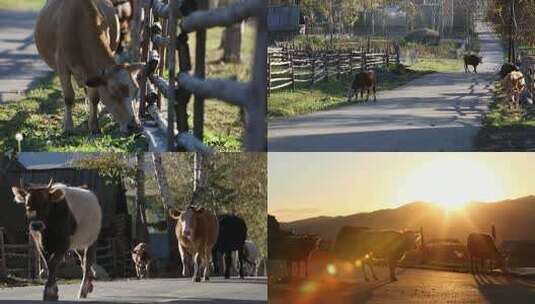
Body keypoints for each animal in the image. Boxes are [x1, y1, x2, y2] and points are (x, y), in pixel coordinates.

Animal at [35, 0, 144, 134]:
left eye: (136, 90)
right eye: (114, 91)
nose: (135, 126)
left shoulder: (94, 72)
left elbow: (95, 98)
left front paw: (94, 125)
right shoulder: (63, 67)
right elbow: (68, 97)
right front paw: (68, 127)